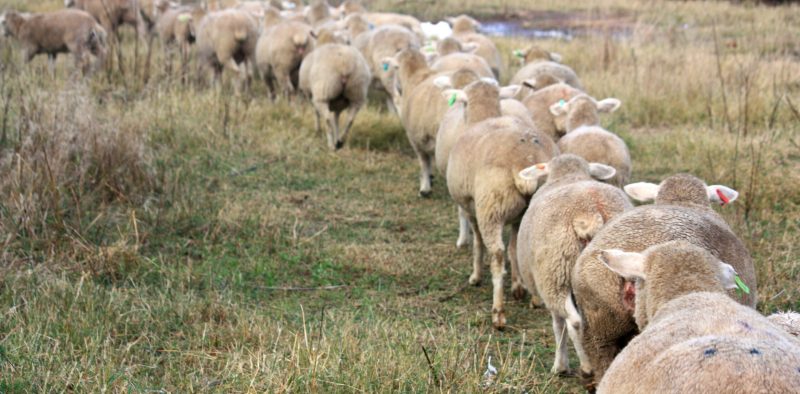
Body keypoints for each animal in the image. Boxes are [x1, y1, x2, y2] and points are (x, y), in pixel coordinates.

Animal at [516, 153, 636, 376]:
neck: (568, 174)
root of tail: (592, 211)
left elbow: (558, 325)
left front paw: (560, 365)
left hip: (556, 274)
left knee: (574, 322)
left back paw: (586, 365)